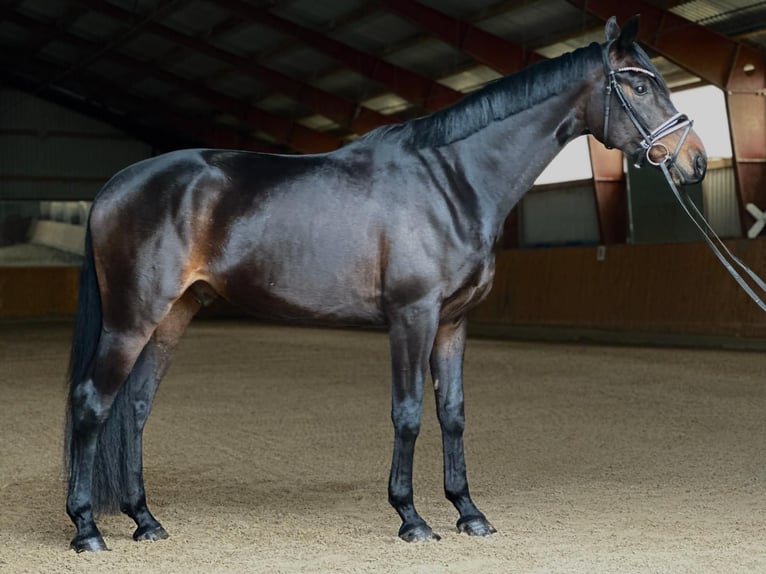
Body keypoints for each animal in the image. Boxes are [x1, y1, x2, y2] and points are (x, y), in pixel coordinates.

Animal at [66, 18, 708, 552]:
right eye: (640, 86)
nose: (695, 162)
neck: (451, 179)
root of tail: (114, 186)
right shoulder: (411, 316)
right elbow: (408, 413)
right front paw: (412, 518)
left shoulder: (453, 322)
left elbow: (452, 413)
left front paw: (469, 513)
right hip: (132, 320)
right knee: (93, 403)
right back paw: (87, 529)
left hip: (173, 316)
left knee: (136, 408)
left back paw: (145, 521)